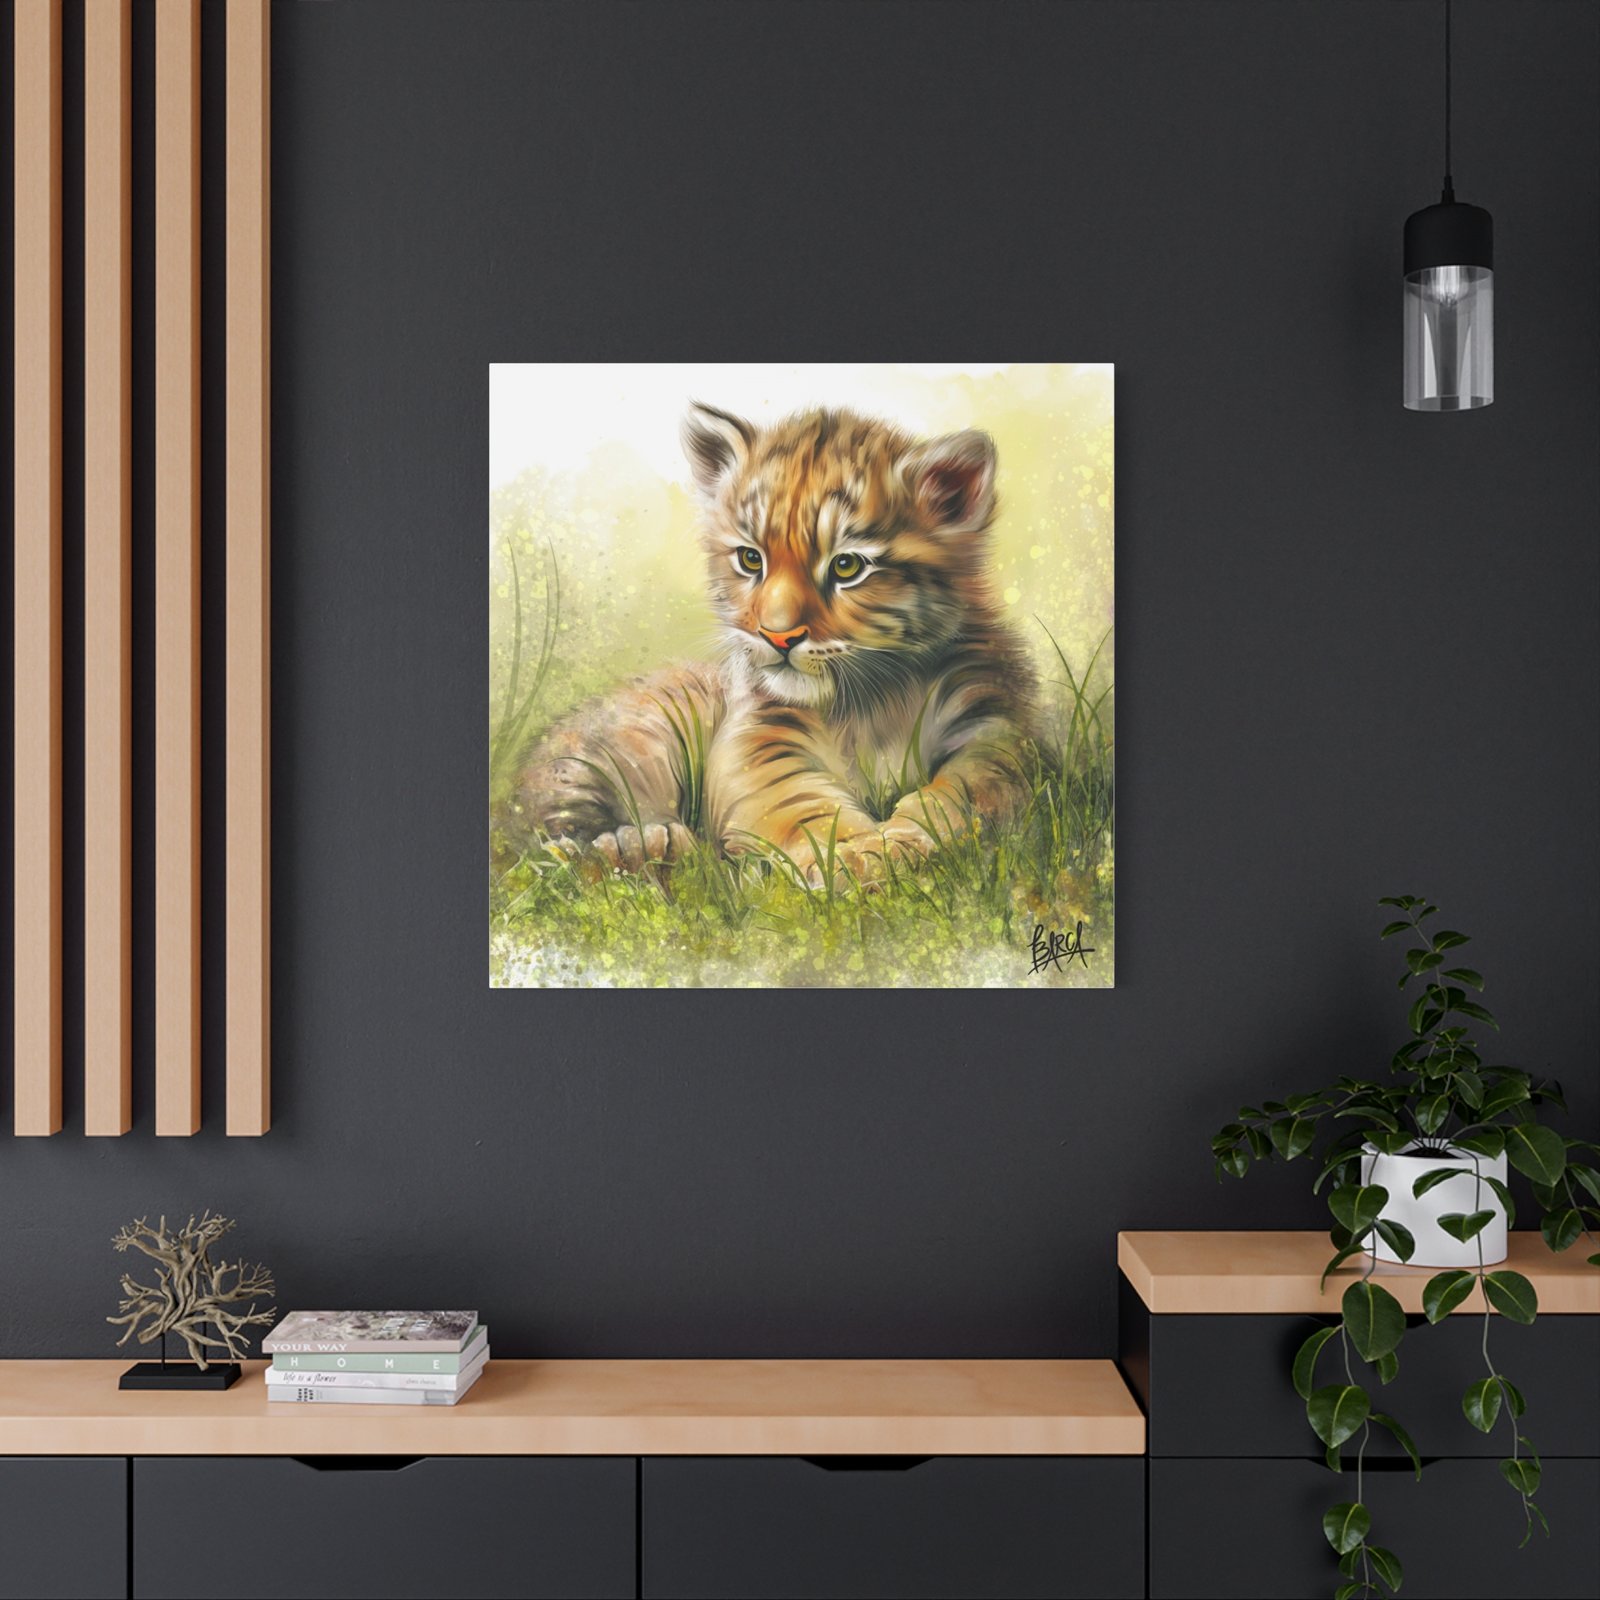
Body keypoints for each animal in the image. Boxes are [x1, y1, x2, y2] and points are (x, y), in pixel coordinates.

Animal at [499, 402, 1039, 885]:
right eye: (750, 559)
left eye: (847, 566)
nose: (777, 635)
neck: (871, 701)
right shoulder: (761, 735)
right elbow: (798, 801)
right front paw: (855, 856)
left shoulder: (991, 726)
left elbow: (968, 788)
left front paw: (901, 841)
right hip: (598, 758)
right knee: (550, 844)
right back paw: (645, 848)